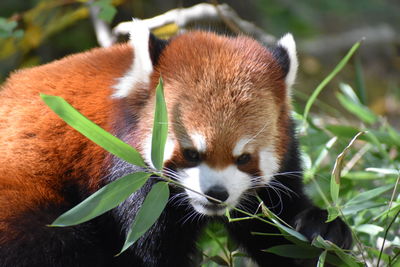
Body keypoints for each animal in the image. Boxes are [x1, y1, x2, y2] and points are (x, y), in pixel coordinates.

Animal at [0, 19, 350, 266]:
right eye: (191, 153)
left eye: (244, 158)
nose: (217, 194)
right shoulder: (133, 189)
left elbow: (276, 229)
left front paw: (322, 229)